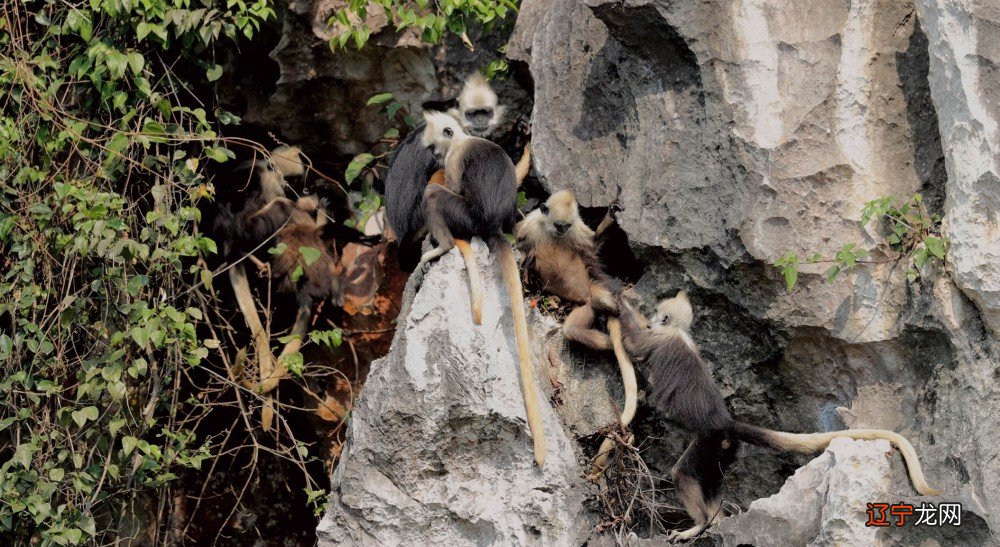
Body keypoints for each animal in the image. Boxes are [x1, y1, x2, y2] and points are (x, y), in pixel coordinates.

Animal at [418, 111, 552, 466]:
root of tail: (491, 226)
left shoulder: (453, 159)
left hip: (467, 218)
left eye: (434, 146)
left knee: (434, 195)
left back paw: (443, 245)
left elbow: (447, 184)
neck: (462, 137)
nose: (433, 157)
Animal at [612, 294, 940, 540]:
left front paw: (617, 300)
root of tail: (726, 424)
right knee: (711, 481)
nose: (651, 317)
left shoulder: (659, 338)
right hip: (723, 451)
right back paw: (716, 521)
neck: (678, 333)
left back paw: (700, 523)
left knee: (683, 473)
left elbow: (635, 346)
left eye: (657, 315)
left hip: (708, 442)